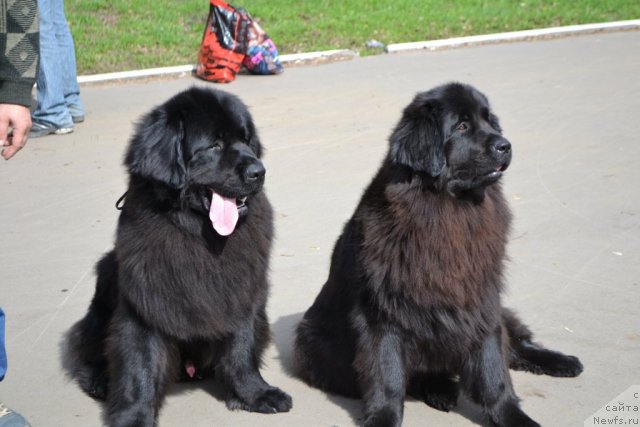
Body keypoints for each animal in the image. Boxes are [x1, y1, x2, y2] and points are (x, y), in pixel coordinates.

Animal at [62, 86, 292, 424]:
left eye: (246, 140)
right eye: (214, 145)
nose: (258, 171)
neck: (199, 236)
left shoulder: (241, 293)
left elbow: (242, 347)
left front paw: (256, 393)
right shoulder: (145, 304)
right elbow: (139, 367)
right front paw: (134, 416)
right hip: (104, 284)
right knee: (88, 344)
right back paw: (100, 380)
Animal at [296, 83, 584, 427]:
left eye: (489, 121)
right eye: (461, 126)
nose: (506, 145)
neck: (449, 209)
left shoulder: (480, 301)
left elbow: (494, 369)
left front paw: (513, 416)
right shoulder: (382, 314)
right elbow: (388, 375)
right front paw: (383, 418)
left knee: (517, 343)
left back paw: (562, 361)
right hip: (314, 345)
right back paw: (440, 389)